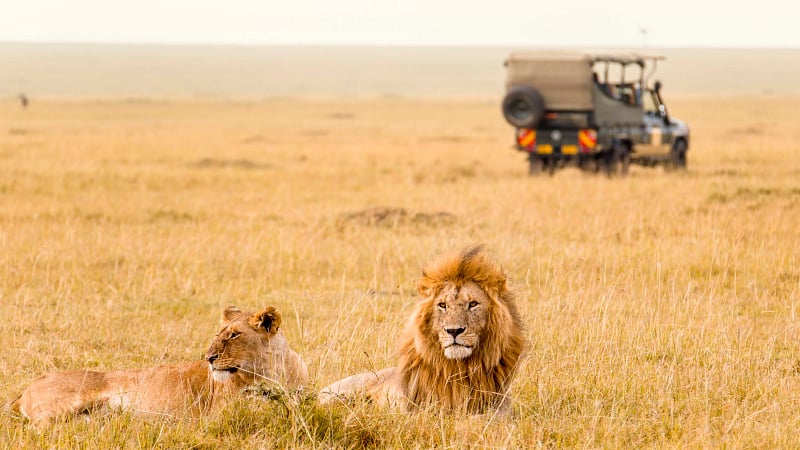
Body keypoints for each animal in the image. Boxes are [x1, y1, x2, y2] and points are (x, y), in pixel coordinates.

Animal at [11, 305, 308, 423]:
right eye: (219, 334)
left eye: (234, 335)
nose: (209, 358)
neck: (274, 370)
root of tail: (25, 389)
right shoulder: (220, 413)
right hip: (64, 404)